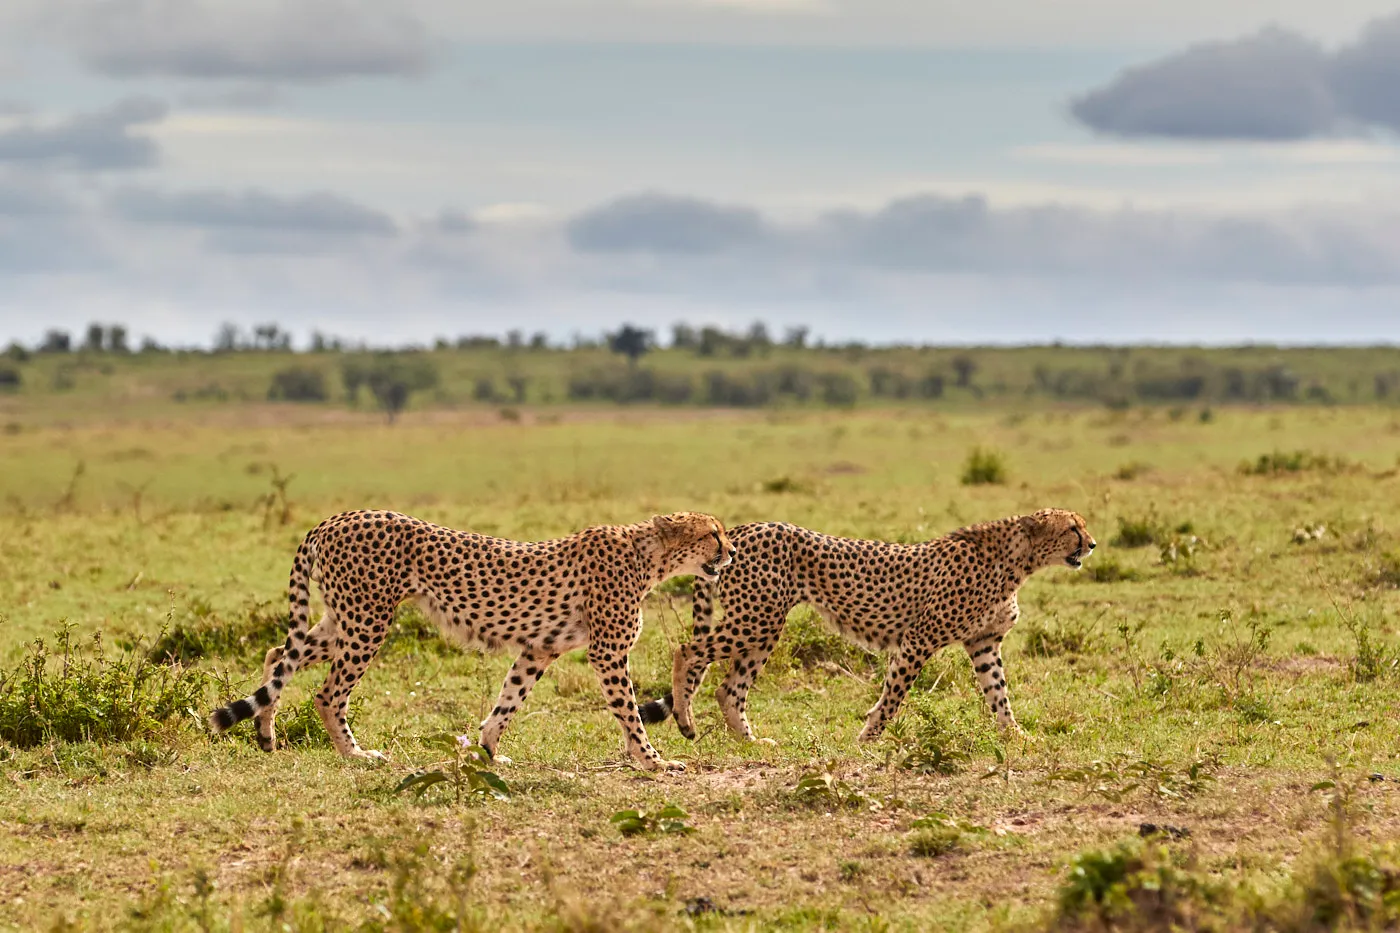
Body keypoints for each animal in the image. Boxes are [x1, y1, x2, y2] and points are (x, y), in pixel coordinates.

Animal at [209, 509, 736, 771]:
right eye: (713, 533)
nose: (731, 552)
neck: (650, 557)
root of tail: (337, 518)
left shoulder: (539, 648)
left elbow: (508, 701)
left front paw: (488, 751)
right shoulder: (607, 652)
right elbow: (628, 712)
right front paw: (652, 761)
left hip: (346, 618)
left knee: (279, 654)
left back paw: (265, 733)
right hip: (368, 620)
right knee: (326, 691)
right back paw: (355, 754)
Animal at [640, 508, 1094, 744]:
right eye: (1072, 527)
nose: (1091, 544)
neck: (1017, 562)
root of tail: (737, 530)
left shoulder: (984, 643)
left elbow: (999, 695)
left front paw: (1016, 735)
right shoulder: (919, 638)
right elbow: (893, 695)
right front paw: (869, 737)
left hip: (763, 626)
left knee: (727, 687)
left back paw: (749, 742)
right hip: (757, 618)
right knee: (686, 651)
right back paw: (685, 720)